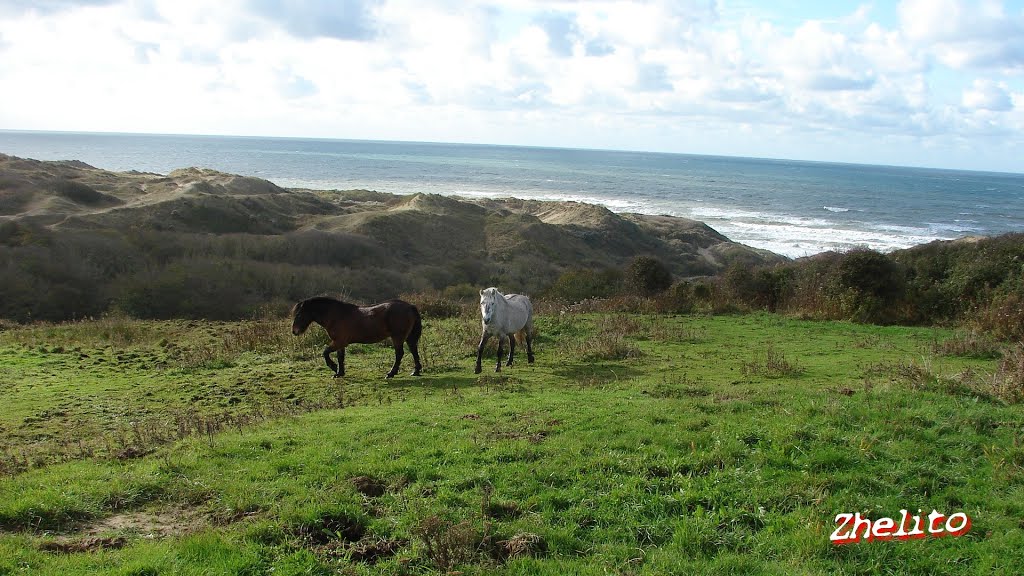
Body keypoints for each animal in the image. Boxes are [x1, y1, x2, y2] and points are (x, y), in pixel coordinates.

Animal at [292, 295, 423, 377]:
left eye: (299, 315)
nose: (294, 331)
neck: (336, 315)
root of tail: (410, 306)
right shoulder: (340, 343)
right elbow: (340, 357)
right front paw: (339, 373)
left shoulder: (339, 341)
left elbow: (325, 352)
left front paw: (333, 367)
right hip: (408, 337)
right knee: (413, 350)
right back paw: (415, 371)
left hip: (397, 337)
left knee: (399, 354)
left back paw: (391, 373)